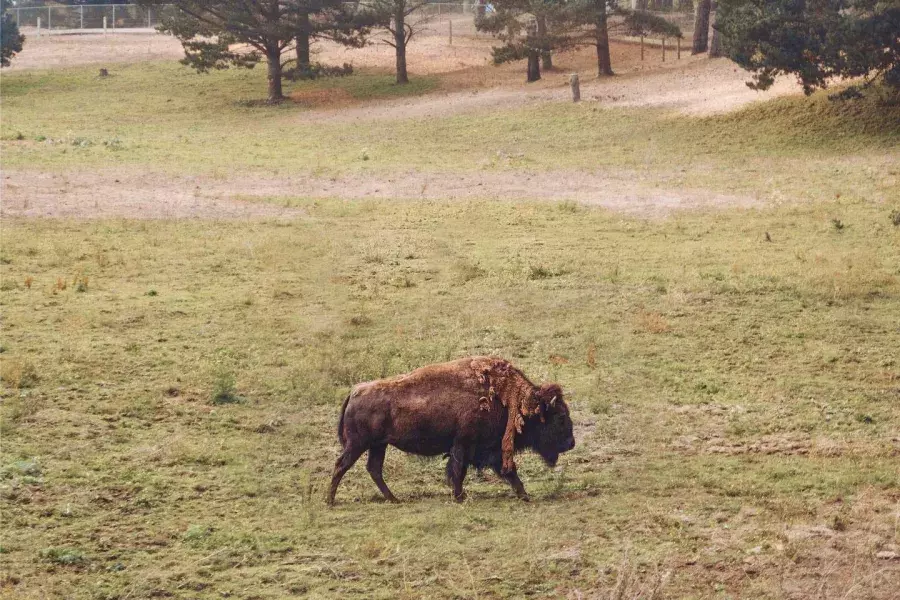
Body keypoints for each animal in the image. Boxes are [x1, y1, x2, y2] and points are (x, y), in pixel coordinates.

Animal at [328, 358, 576, 504]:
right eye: (561, 417)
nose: (571, 443)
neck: (508, 400)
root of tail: (355, 392)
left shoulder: (485, 449)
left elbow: (506, 472)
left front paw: (524, 495)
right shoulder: (465, 446)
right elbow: (460, 471)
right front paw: (460, 497)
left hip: (378, 445)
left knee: (374, 469)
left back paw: (394, 499)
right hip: (359, 444)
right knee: (342, 465)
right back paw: (330, 501)